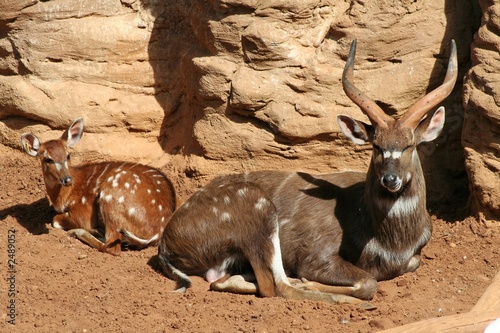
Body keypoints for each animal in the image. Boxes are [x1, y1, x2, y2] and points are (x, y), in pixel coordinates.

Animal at [20, 117, 177, 254]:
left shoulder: (82, 213)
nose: (67, 179)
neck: (63, 197)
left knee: (112, 247)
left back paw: (79, 232)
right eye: (48, 159)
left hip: (112, 196)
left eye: (68, 155)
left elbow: (55, 220)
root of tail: (157, 232)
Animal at [158, 39, 458, 304]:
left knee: (224, 280)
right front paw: (313, 282)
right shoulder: (315, 255)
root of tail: (165, 242)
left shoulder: (413, 257)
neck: (390, 242)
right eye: (376, 146)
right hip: (257, 210)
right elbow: (367, 282)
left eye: (409, 145)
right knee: (274, 286)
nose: (390, 179)